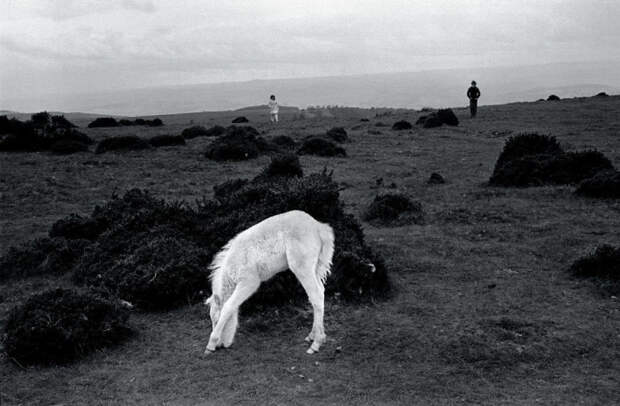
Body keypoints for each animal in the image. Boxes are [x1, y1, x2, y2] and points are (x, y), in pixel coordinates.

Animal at [205, 211, 334, 354]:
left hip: (302, 268)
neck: (235, 262)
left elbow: (228, 306)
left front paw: (211, 344)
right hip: (314, 268)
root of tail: (319, 227)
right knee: (320, 293)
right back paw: (313, 336)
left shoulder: (249, 282)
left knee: (316, 296)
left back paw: (316, 344)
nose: (220, 345)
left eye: (216, 320)